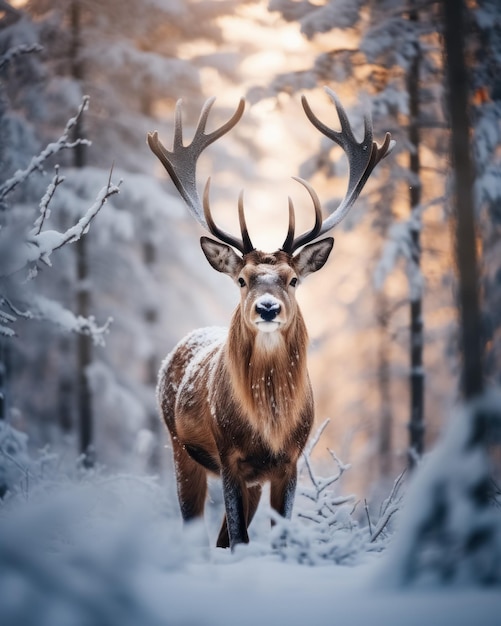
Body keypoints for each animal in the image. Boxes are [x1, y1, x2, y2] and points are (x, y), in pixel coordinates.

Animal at [146, 88, 392, 544]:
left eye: (293, 279)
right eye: (242, 279)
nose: (267, 307)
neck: (270, 424)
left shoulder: (289, 461)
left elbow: (276, 533)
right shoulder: (228, 455)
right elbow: (240, 537)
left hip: (249, 480)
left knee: (221, 536)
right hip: (178, 447)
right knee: (196, 526)